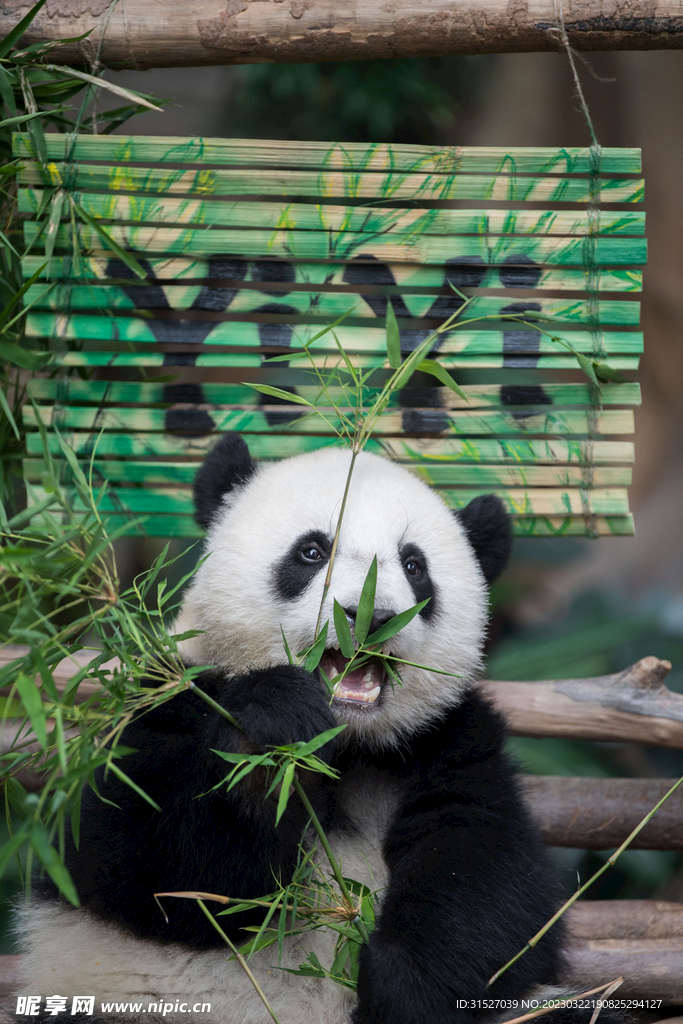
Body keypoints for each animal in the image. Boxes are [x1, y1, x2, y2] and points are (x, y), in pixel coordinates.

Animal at [14, 434, 577, 1024]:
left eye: (414, 565)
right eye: (311, 552)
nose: (373, 616)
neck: (345, 744)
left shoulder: (442, 741)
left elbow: (488, 874)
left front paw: (402, 987)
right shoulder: (167, 701)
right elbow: (165, 871)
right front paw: (273, 733)